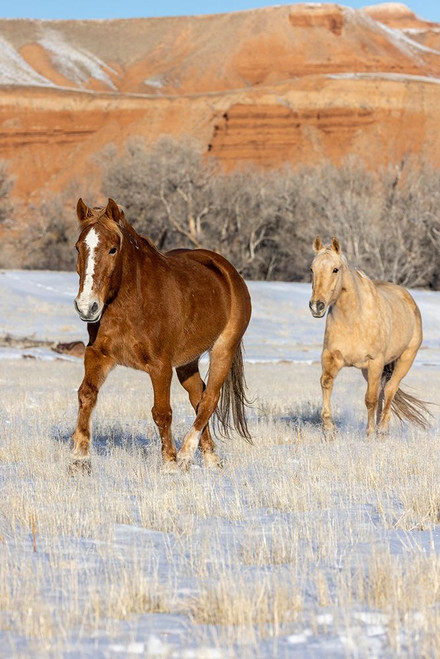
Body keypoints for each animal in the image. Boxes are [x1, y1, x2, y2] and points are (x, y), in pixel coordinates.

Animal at [71, 198, 252, 473]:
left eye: (113, 249)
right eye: (79, 248)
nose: (86, 307)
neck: (132, 304)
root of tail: (227, 271)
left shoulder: (160, 366)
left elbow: (162, 412)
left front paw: (170, 464)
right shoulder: (98, 356)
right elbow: (86, 396)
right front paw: (79, 460)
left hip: (223, 349)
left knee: (209, 400)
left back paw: (186, 454)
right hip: (187, 363)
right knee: (198, 398)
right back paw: (210, 458)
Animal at [309, 236, 429, 436]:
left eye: (335, 269)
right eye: (312, 269)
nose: (316, 306)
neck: (353, 318)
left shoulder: (375, 362)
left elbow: (370, 399)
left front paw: (370, 432)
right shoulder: (331, 357)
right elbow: (326, 383)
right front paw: (329, 428)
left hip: (404, 359)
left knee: (389, 389)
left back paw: (382, 429)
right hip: (370, 370)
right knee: (382, 390)